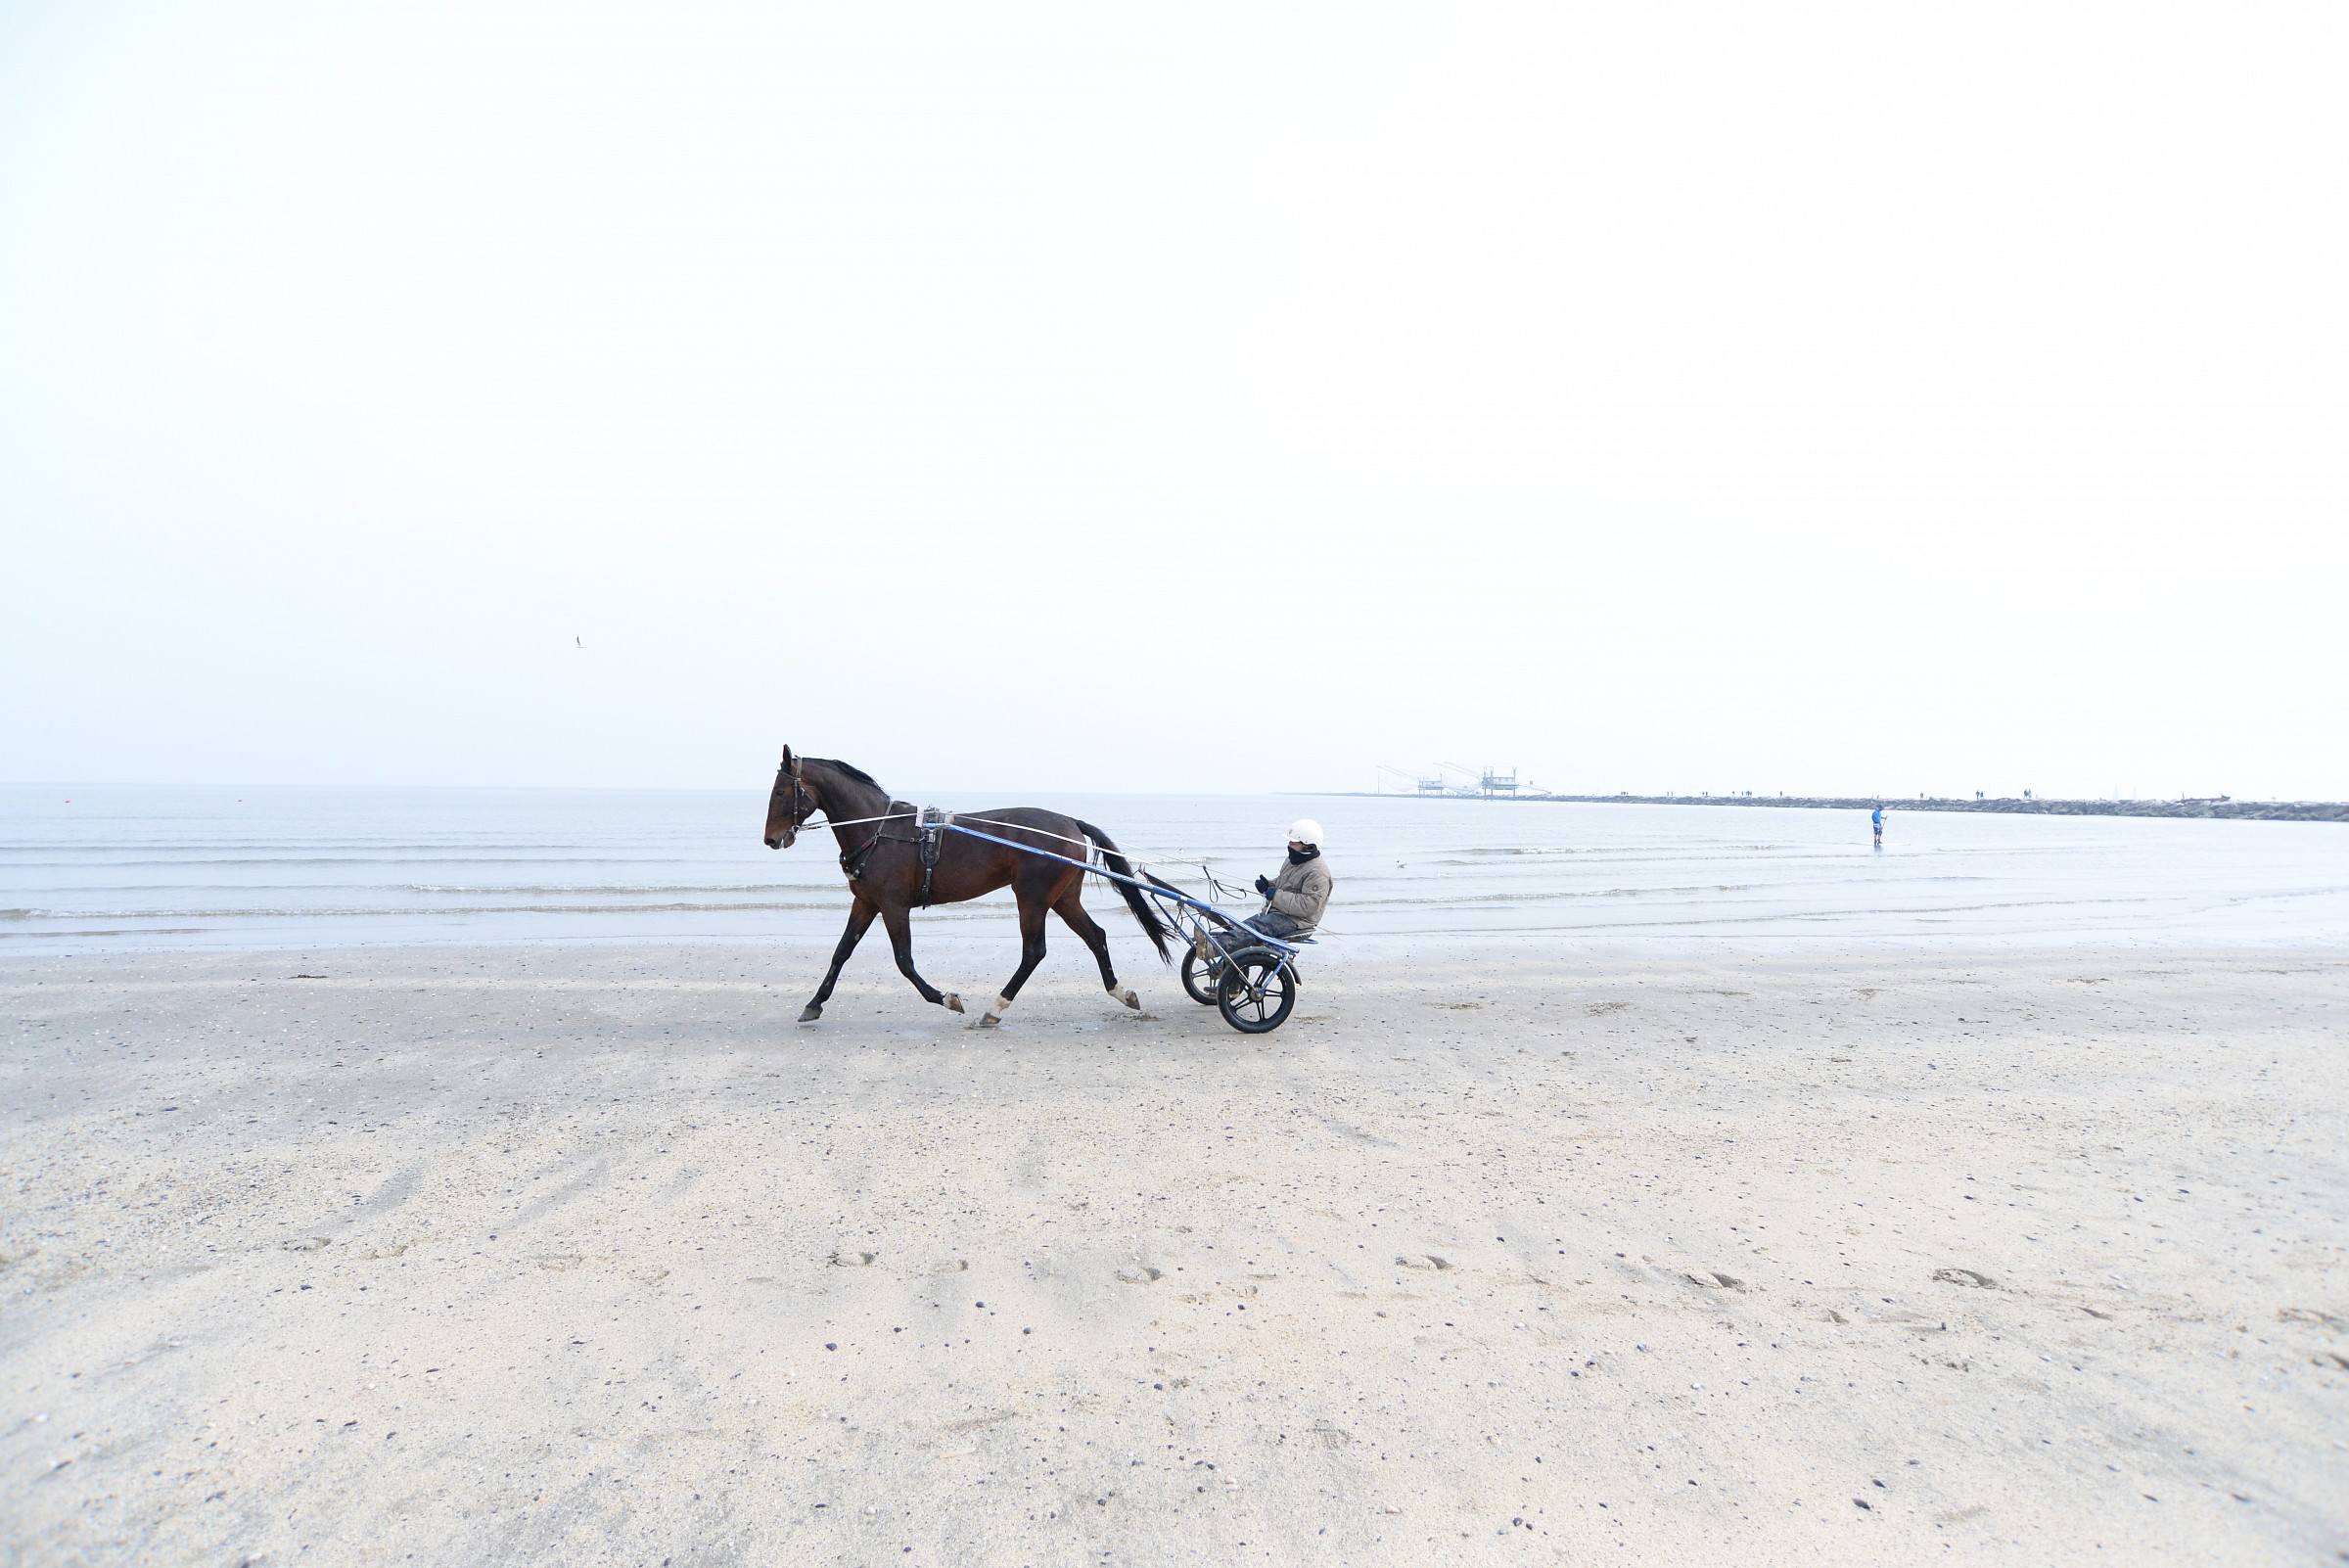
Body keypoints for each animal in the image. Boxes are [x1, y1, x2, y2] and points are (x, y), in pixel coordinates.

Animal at [763, 747, 1173, 1028]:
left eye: (781, 792)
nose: (770, 839)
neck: (880, 830)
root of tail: (1070, 822)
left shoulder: (893, 905)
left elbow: (904, 961)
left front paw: (946, 998)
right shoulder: (866, 903)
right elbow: (841, 953)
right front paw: (814, 1003)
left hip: (1032, 897)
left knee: (1034, 951)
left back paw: (996, 1007)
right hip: (1063, 898)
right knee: (1095, 936)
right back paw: (1121, 992)